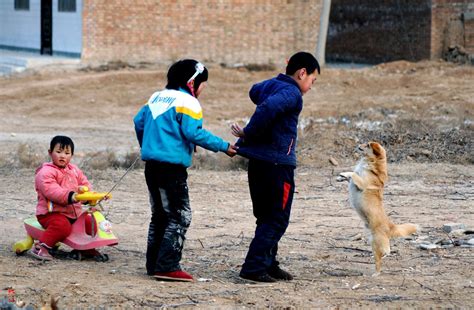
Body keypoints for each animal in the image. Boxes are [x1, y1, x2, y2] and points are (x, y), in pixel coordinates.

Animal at [336, 142, 416, 274]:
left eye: (367, 145)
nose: (358, 144)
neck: (370, 162)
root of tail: (390, 226)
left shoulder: (362, 183)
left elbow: (353, 173)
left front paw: (344, 174)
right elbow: (350, 176)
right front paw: (340, 177)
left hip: (377, 243)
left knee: (384, 255)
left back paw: (376, 273)